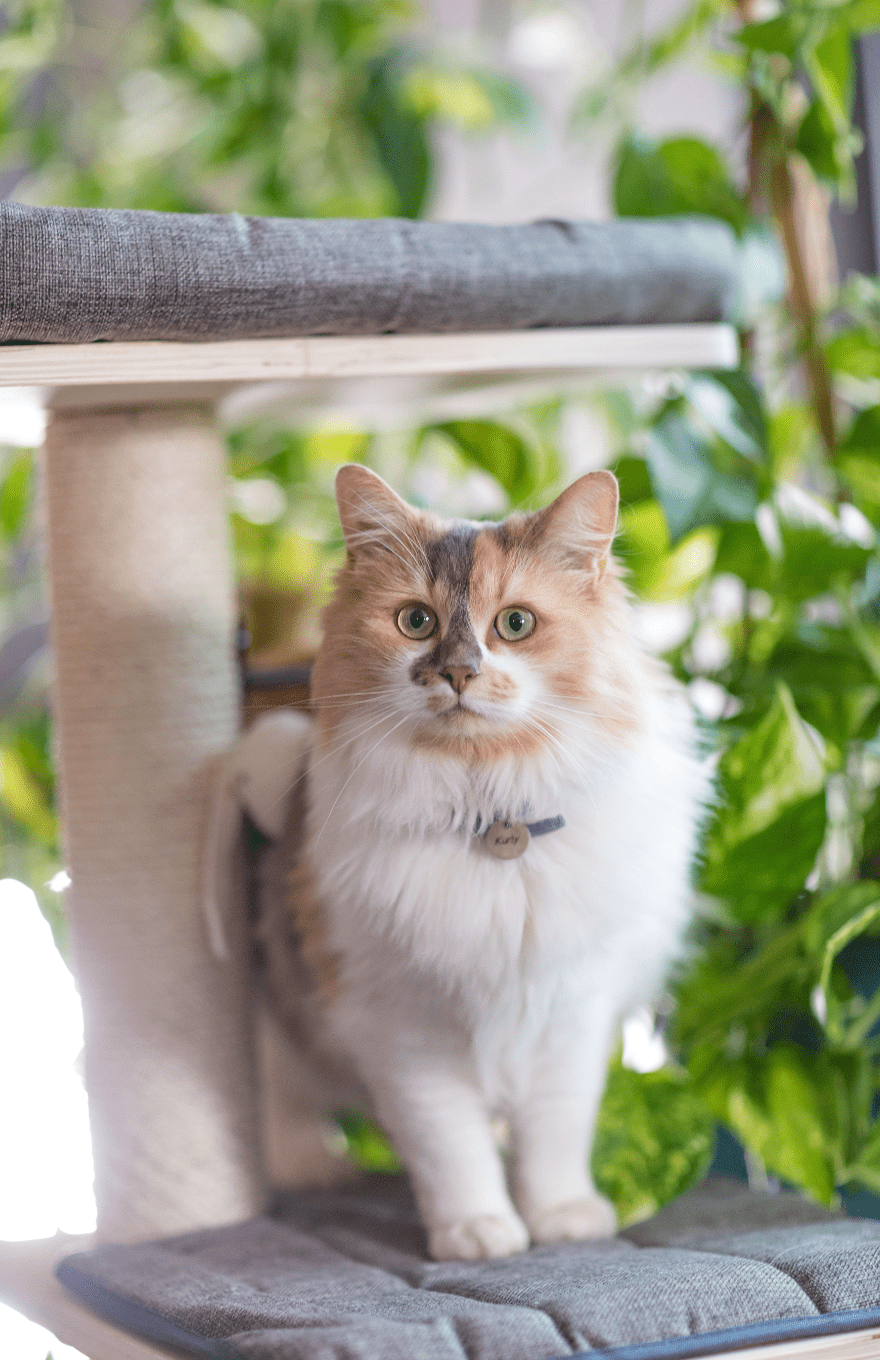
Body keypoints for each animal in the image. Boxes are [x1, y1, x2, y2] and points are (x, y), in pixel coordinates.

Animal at [213, 465, 707, 1262]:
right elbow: (450, 1146)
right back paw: (313, 1170)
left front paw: (561, 1218)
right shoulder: (405, 1027)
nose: (458, 673)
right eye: (415, 622)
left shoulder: (570, 1010)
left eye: (516, 625)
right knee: (283, 1100)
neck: (489, 820)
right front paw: (477, 1232)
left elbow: (554, 1135)